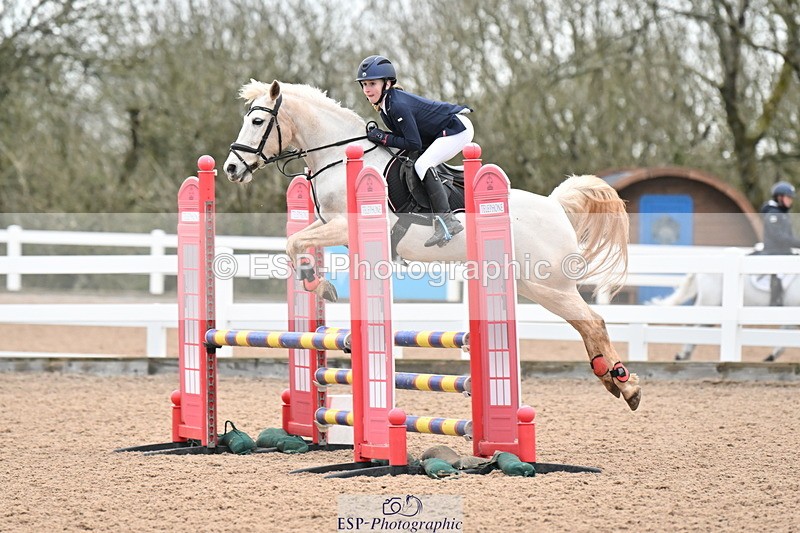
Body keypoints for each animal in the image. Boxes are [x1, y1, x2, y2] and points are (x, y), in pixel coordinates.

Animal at [222, 79, 642, 411]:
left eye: (257, 121)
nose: (230, 168)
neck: (339, 157)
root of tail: (555, 205)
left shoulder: (345, 226)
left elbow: (295, 243)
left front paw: (318, 284)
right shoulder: (331, 226)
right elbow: (295, 241)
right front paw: (321, 285)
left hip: (547, 284)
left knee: (593, 322)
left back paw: (626, 383)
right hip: (530, 284)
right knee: (585, 325)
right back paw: (613, 380)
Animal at [651, 257, 800, 361]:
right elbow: (783, 344)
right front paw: (769, 359)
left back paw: (683, 355)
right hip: (709, 303)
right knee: (693, 326)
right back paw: (682, 355)